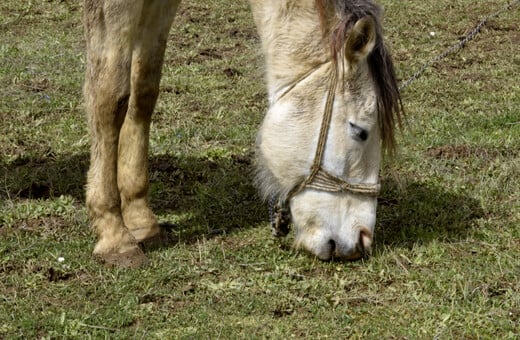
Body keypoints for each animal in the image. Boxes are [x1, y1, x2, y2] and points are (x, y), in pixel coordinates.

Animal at [84, 0, 402, 266]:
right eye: (360, 131)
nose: (362, 239)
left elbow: (144, 92)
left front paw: (141, 220)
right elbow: (111, 99)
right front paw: (115, 236)